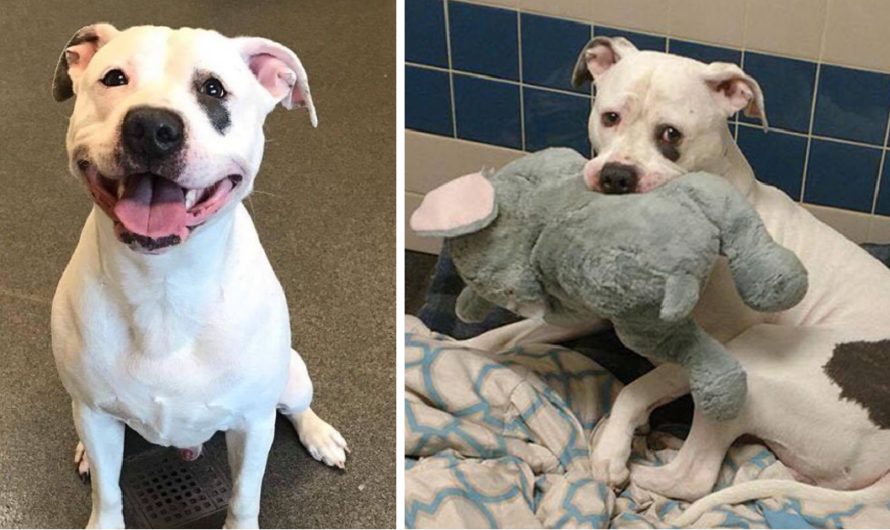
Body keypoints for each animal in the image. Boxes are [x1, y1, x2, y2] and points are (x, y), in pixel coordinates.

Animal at [48, 24, 346, 528]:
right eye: (114, 78)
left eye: (213, 89)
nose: (152, 128)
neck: (163, 285)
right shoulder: (93, 412)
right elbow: (108, 492)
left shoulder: (252, 425)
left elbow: (244, 495)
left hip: (293, 376)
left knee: (297, 407)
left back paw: (319, 434)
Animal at [458, 37, 888, 524]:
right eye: (610, 117)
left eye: (670, 134)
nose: (617, 175)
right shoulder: (591, 315)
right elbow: (510, 333)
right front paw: (456, 349)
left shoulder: (705, 355)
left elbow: (635, 389)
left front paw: (612, 451)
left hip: (753, 362)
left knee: (695, 477)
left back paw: (639, 465)